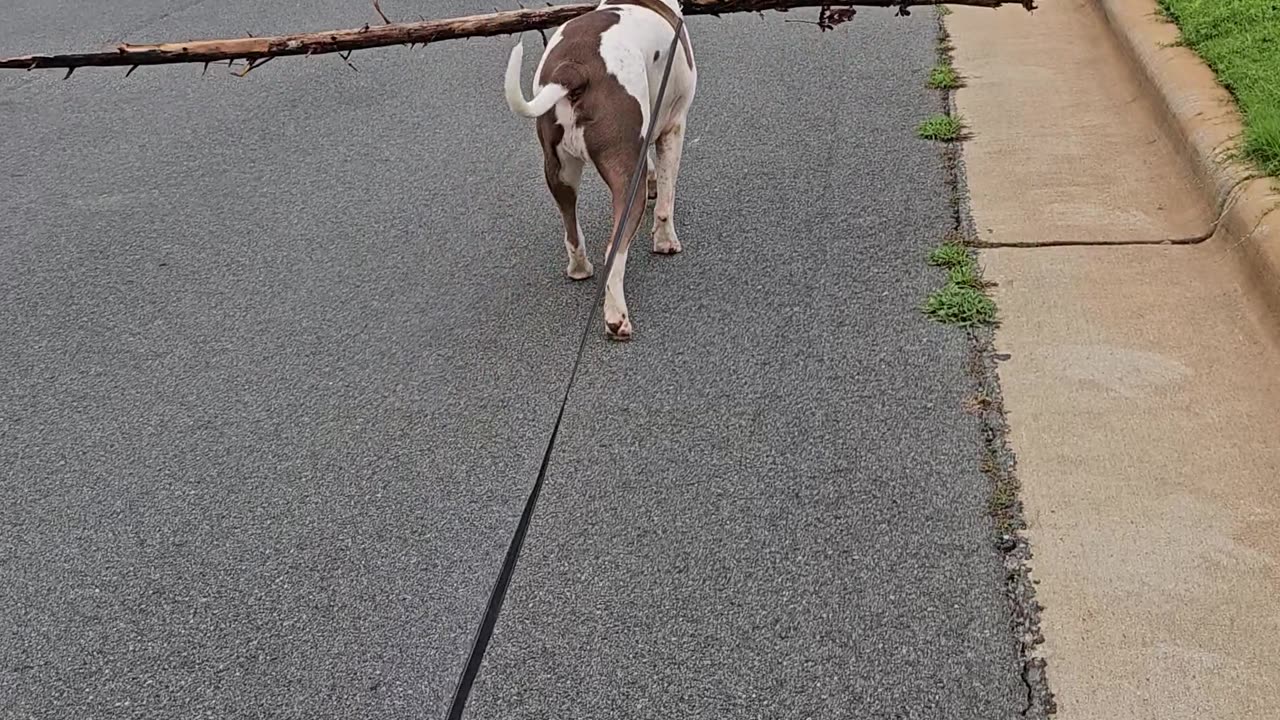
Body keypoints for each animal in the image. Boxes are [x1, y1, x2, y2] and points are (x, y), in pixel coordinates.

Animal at [501, 0, 701, 338]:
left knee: (572, 231)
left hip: (559, 171)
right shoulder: (674, 126)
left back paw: (580, 269)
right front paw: (665, 242)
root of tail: (574, 69)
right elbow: (667, 197)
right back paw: (616, 317)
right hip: (625, 177)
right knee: (614, 250)